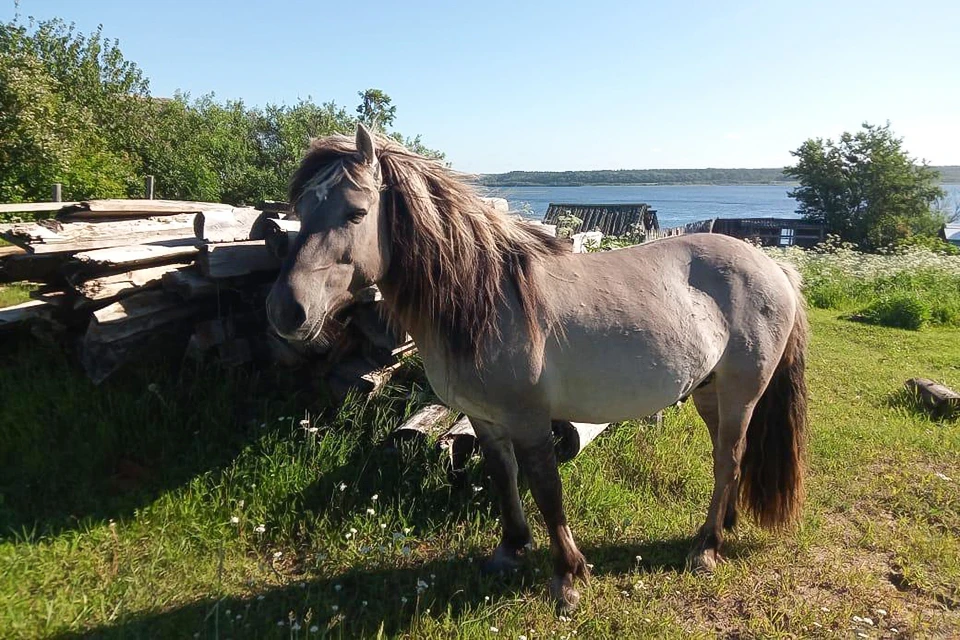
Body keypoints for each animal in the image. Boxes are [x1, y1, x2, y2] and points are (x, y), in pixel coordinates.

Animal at [268, 124, 808, 608]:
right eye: (302, 210)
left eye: (356, 212)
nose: (286, 311)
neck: (484, 300)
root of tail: (773, 265)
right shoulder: (484, 419)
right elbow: (504, 479)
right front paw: (510, 551)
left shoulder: (529, 420)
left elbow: (547, 491)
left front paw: (567, 577)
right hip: (708, 391)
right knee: (727, 456)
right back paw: (723, 526)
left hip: (740, 393)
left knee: (728, 459)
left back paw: (706, 549)